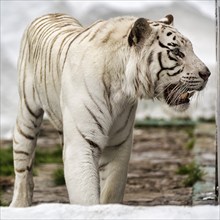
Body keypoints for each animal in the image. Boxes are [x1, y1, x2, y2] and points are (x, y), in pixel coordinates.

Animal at [9, 13, 210, 206]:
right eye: (176, 52)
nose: (207, 73)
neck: (120, 87)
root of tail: (50, 13)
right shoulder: (82, 143)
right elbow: (86, 196)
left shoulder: (117, 142)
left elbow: (112, 189)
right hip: (27, 115)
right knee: (23, 164)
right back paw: (20, 203)